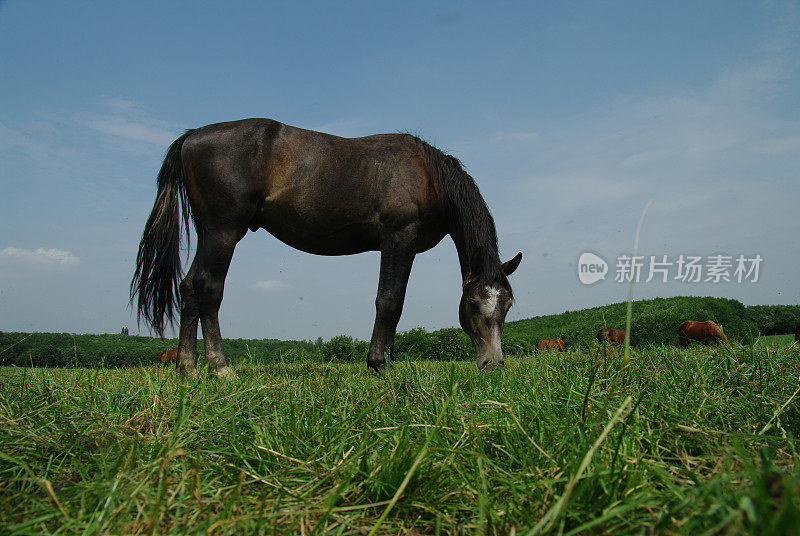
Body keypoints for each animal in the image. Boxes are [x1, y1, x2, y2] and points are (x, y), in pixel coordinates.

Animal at [130, 119, 524, 374]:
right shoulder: (399, 238)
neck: (428, 175)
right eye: (473, 304)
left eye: (506, 306)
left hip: (209, 233)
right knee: (208, 288)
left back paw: (188, 367)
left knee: (188, 288)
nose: (493, 364)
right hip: (223, 231)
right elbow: (390, 301)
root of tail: (192, 137)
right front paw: (380, 365)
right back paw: (221, 367)